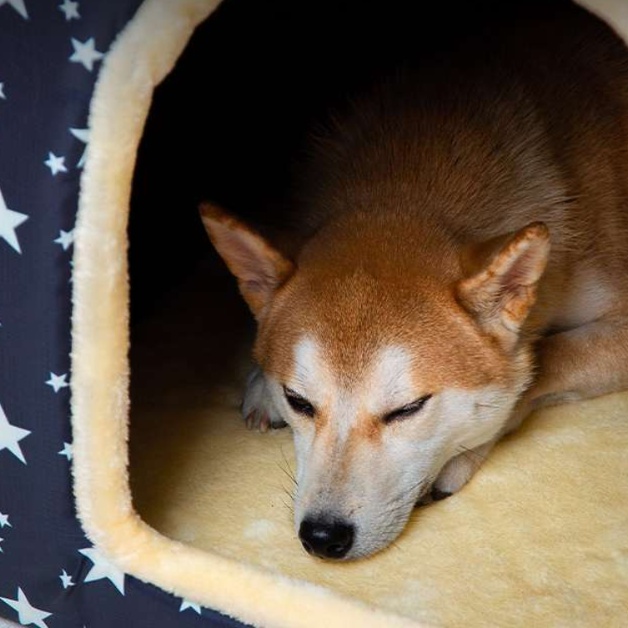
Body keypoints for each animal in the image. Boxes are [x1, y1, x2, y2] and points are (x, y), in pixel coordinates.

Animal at [199, 0, 628, 560]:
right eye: (299, 402)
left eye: (407, 409)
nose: (323, 536)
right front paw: (259, 386)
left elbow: (544, 363)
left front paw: (465, 452)